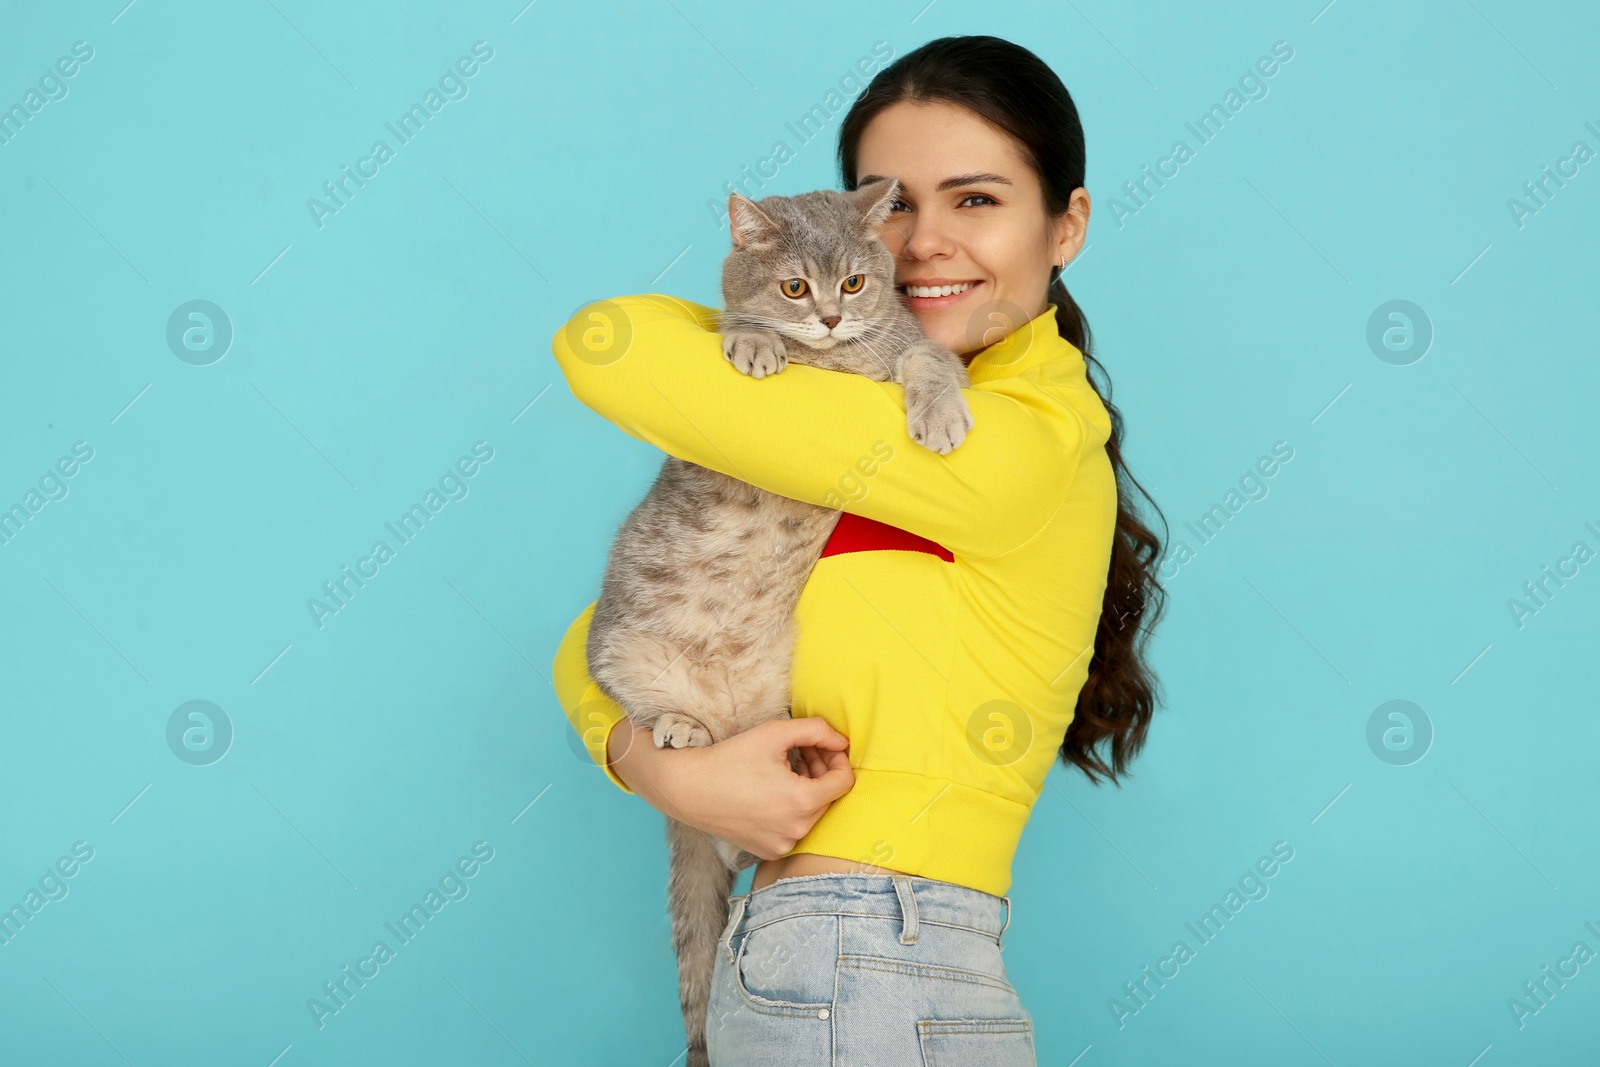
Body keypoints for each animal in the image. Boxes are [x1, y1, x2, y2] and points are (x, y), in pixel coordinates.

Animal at [582, 177, 966, 1067]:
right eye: (794, 287)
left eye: (853, 284)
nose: (825, 318)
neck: (832, 360)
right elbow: (730, 324)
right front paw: (755, 344)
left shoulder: (906, 343)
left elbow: (932, 358)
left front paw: (939, 412)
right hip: (620, 650)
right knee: (652, 726)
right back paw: (681, 727)